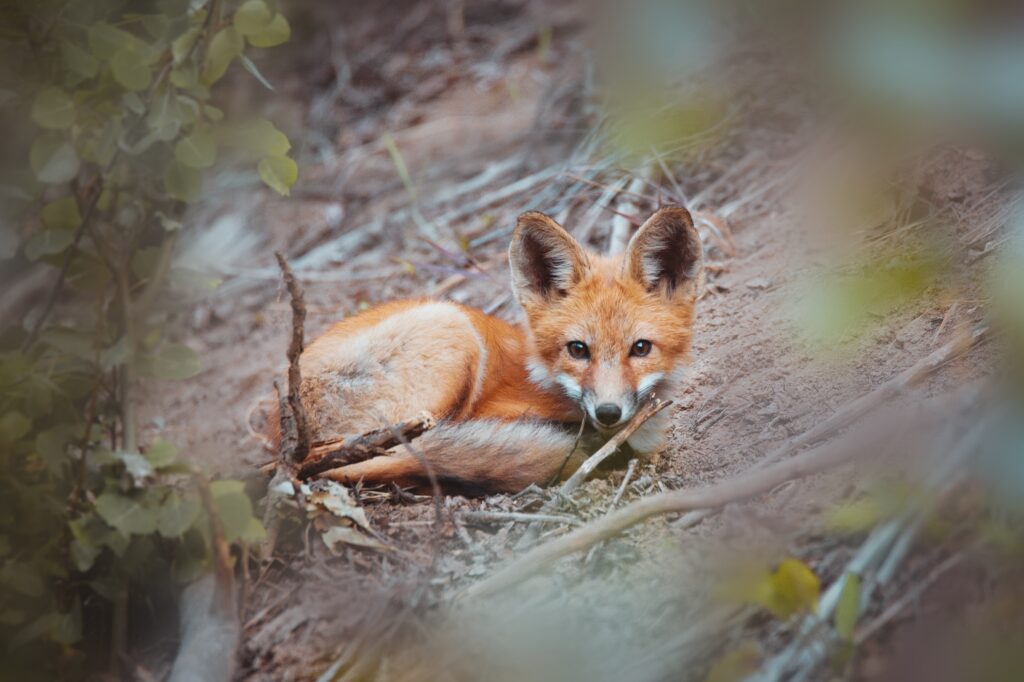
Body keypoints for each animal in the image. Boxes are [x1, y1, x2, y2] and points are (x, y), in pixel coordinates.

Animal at [268, 204, 704, 491]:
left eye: (641, 348)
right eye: (578, 349)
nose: (609, 413)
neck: (543, 377)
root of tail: (280, 438)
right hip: (451, 334)